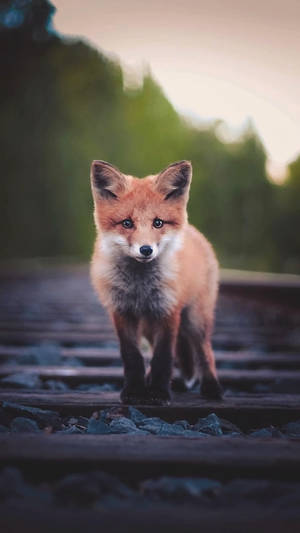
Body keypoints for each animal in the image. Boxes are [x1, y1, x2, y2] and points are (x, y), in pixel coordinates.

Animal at [90, 160, 221, 406]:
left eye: (158, 223)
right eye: (127, 223)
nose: (146, 249)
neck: (140, 286)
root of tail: (196, 232)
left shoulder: (168, 311)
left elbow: (163, 357)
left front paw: (159, 393)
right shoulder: (122, 312)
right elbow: (132, 357)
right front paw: (134, 391)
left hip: (195, 319)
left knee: (204, 351)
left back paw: (212, 387)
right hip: (149, 327)